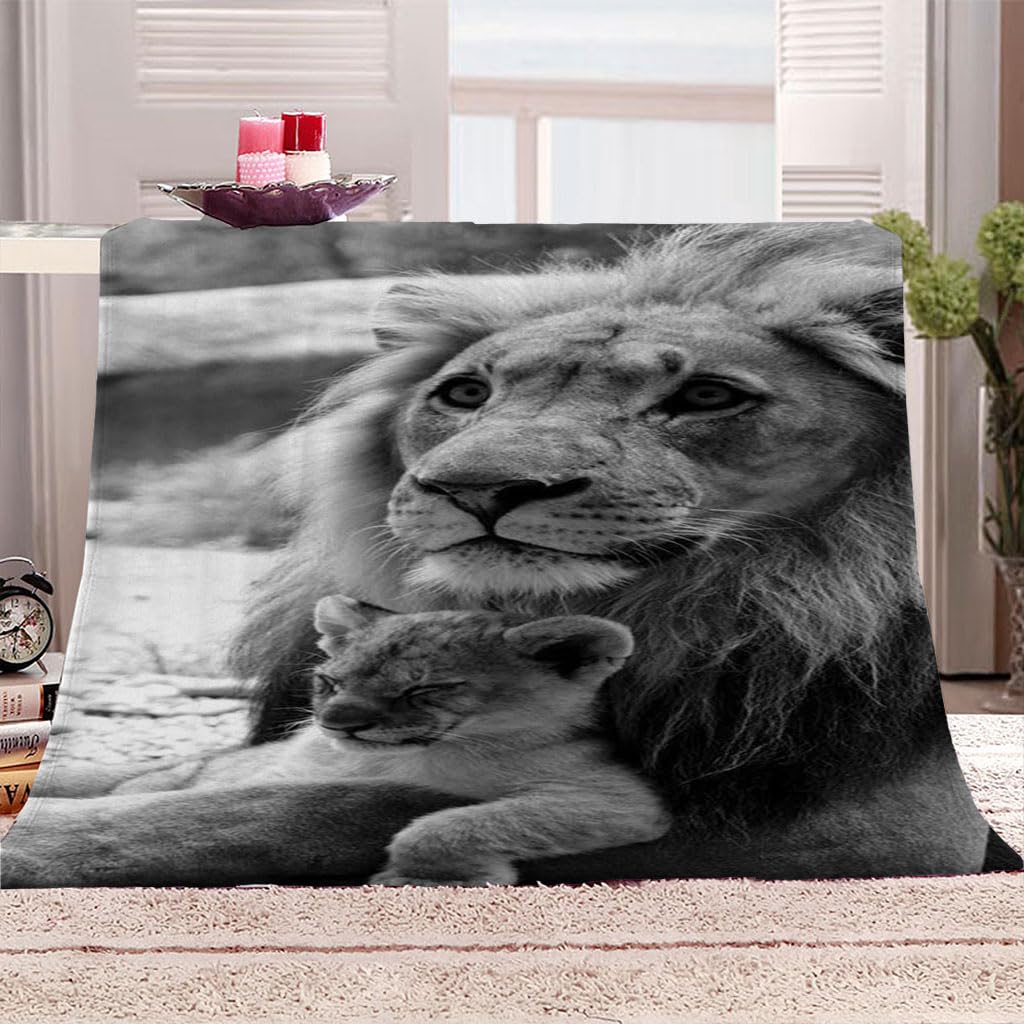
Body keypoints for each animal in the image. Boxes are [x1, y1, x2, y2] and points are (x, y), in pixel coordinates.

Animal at [2, 222, 1018, 887]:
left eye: (708, 397)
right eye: (466, 393)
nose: (480, 489)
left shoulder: (861, 833)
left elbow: (322, 806)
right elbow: (179, 777)